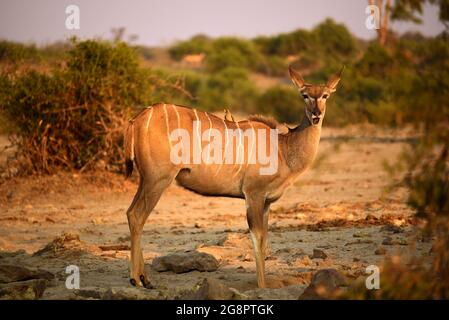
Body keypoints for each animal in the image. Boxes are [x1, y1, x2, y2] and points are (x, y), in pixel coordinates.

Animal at [123, 66, 344, 288]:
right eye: (304, 95)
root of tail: (137, 120)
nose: (316, 115)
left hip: (146, 180)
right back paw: (136, 279)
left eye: (325, 95)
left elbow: (264, 240)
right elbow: (257, 238)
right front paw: (262, 286)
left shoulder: (266, 202)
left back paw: (145, 278)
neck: (283, 148)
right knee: (137, 216)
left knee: (130, 212)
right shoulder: (253, 194)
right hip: (158, 180)